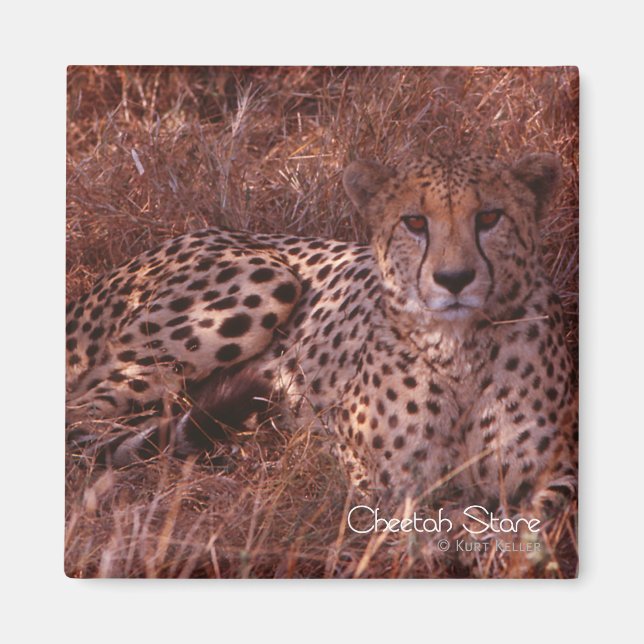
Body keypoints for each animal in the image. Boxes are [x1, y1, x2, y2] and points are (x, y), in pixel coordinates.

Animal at [66, 150, 577, 511]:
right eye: (414, 222)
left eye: (489, 217)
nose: (454, 279)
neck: (459, 351)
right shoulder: (373, 474)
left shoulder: (558, 473)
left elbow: (533, 522)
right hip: (266, 280)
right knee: (82, 419)